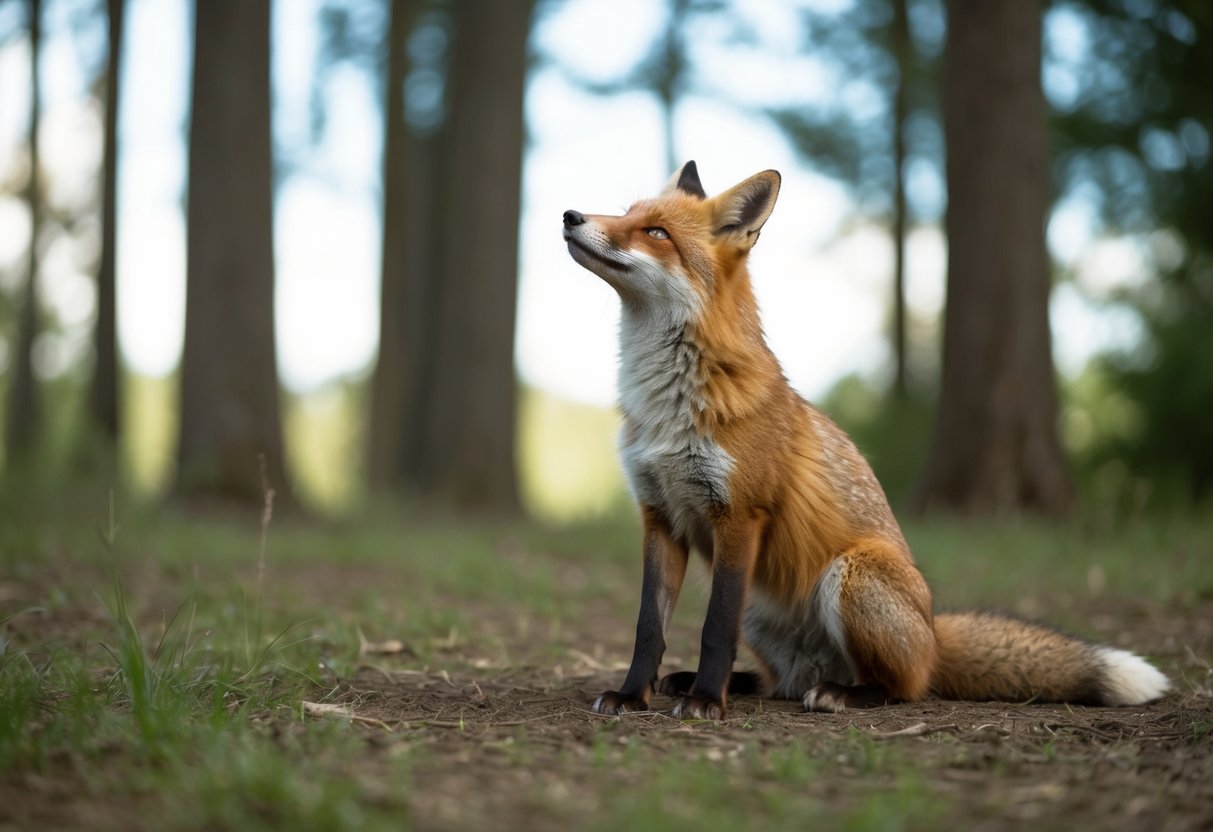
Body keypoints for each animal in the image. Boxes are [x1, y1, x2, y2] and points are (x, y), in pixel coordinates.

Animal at [560, 161, 1171, 720]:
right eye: (626, 214)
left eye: (657, 233)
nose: (570, 215)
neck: (668, 407)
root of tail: (932, 633)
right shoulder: (660, 514)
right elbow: (648, 628)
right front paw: (633, 694)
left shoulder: (739, 515)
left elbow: (714, 628)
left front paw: (708, 701)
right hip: (764, 610)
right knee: (779, 682)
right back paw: (716, 682)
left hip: (851, 576)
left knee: (899, 688)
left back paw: (836, 693)